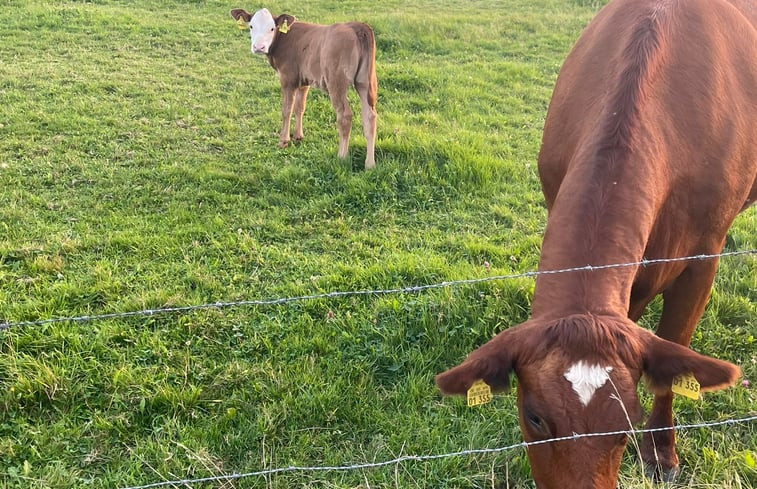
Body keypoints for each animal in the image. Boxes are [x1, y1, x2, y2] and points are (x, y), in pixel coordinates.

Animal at [229, 6, 378, 172]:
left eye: (272, 28)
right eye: (251, 26)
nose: (258, 47)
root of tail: (356, 26)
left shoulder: (288, 79)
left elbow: (287, 110)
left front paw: (284, 140)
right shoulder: (304, 80)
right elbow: (300, 107)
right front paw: (298, 136)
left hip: (336, 83)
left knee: (345, 116)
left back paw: (342, 157)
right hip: (365, 82)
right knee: (370, 116)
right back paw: (370, 164)